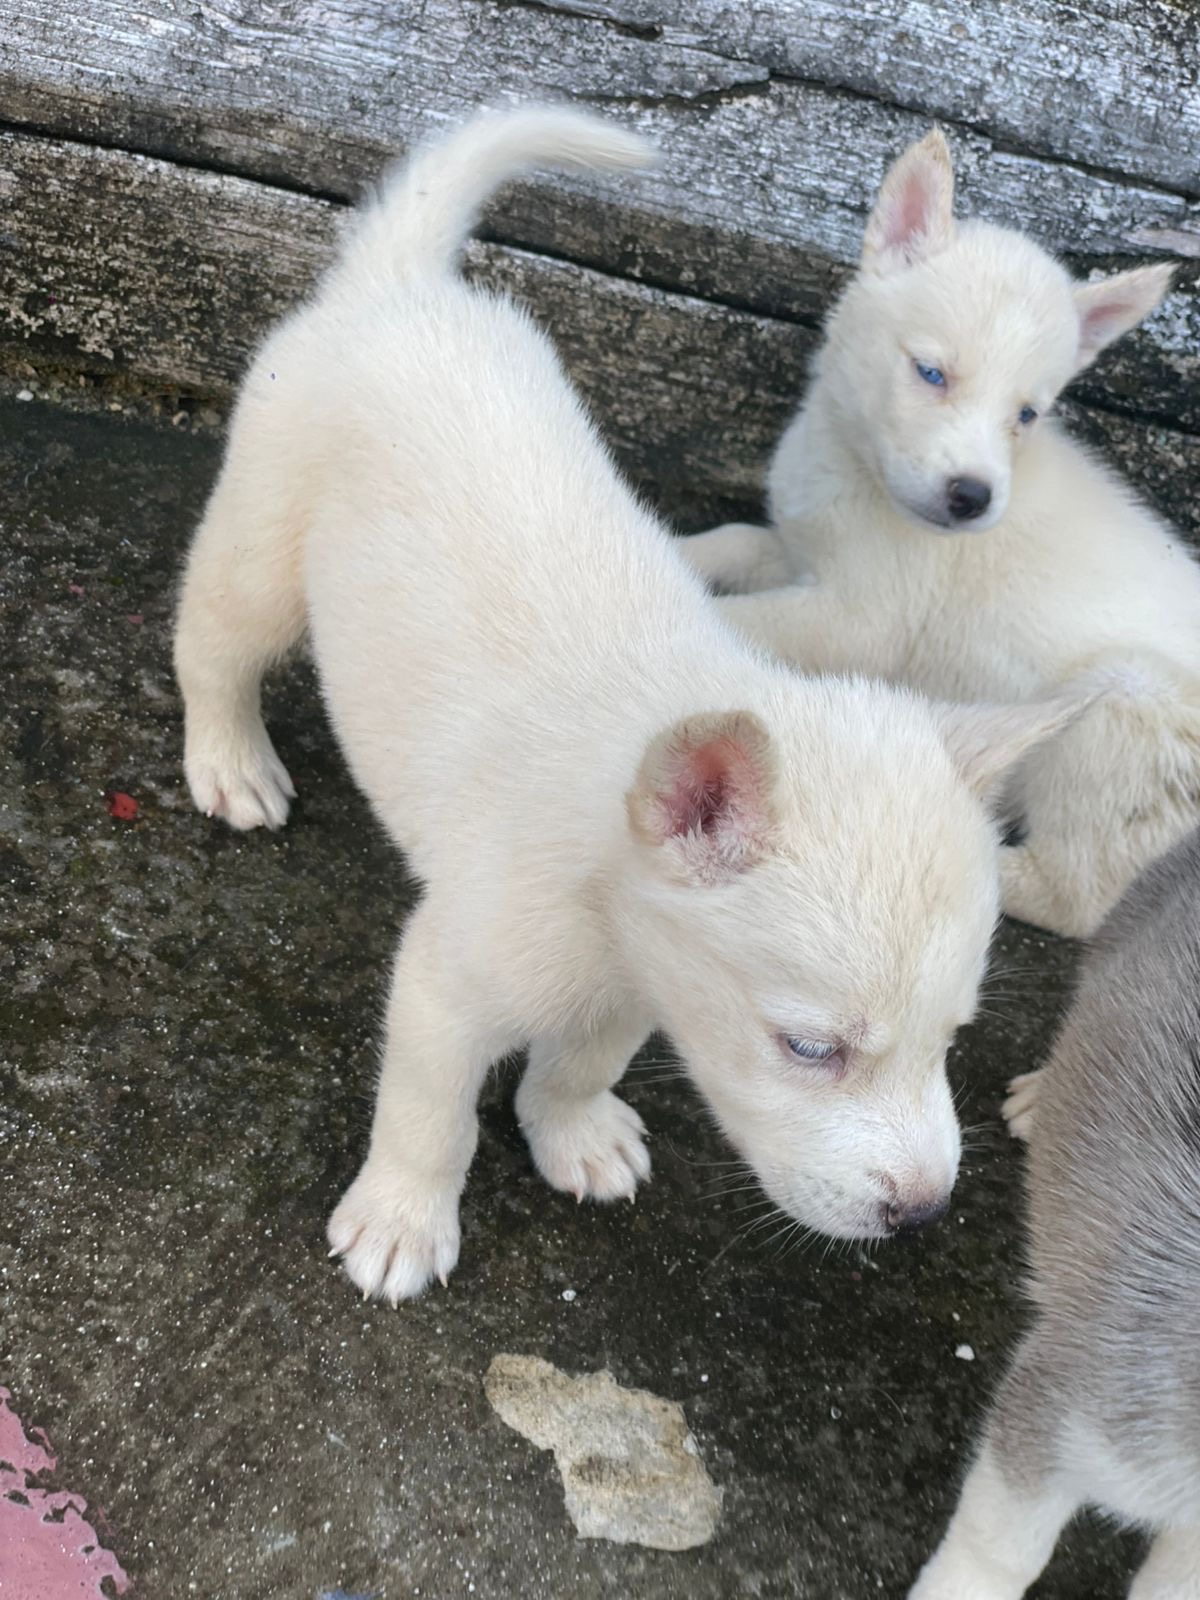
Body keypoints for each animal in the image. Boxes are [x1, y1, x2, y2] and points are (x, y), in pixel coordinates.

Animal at [173, 103, 1075, 1299]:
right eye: (811, 1047)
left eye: (952, 1037)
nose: (923, 1213)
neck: (608, 902)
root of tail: (403, 285)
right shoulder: (450, 977)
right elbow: (432, 1115)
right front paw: (404, 1219)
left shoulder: (642, 983)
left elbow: (582, 1059)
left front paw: (572, 1129)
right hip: (262, 544)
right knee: (210, 644)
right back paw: (229, 758)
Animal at [684, 134, 1200, 947]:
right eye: (932, 373)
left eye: (1027, 414)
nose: (972, 497)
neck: (857, 473)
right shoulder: (799, 553)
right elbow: (731, 539)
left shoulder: (860, 620)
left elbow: (741, 618)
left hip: (1123, 703)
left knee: (1078, 893)